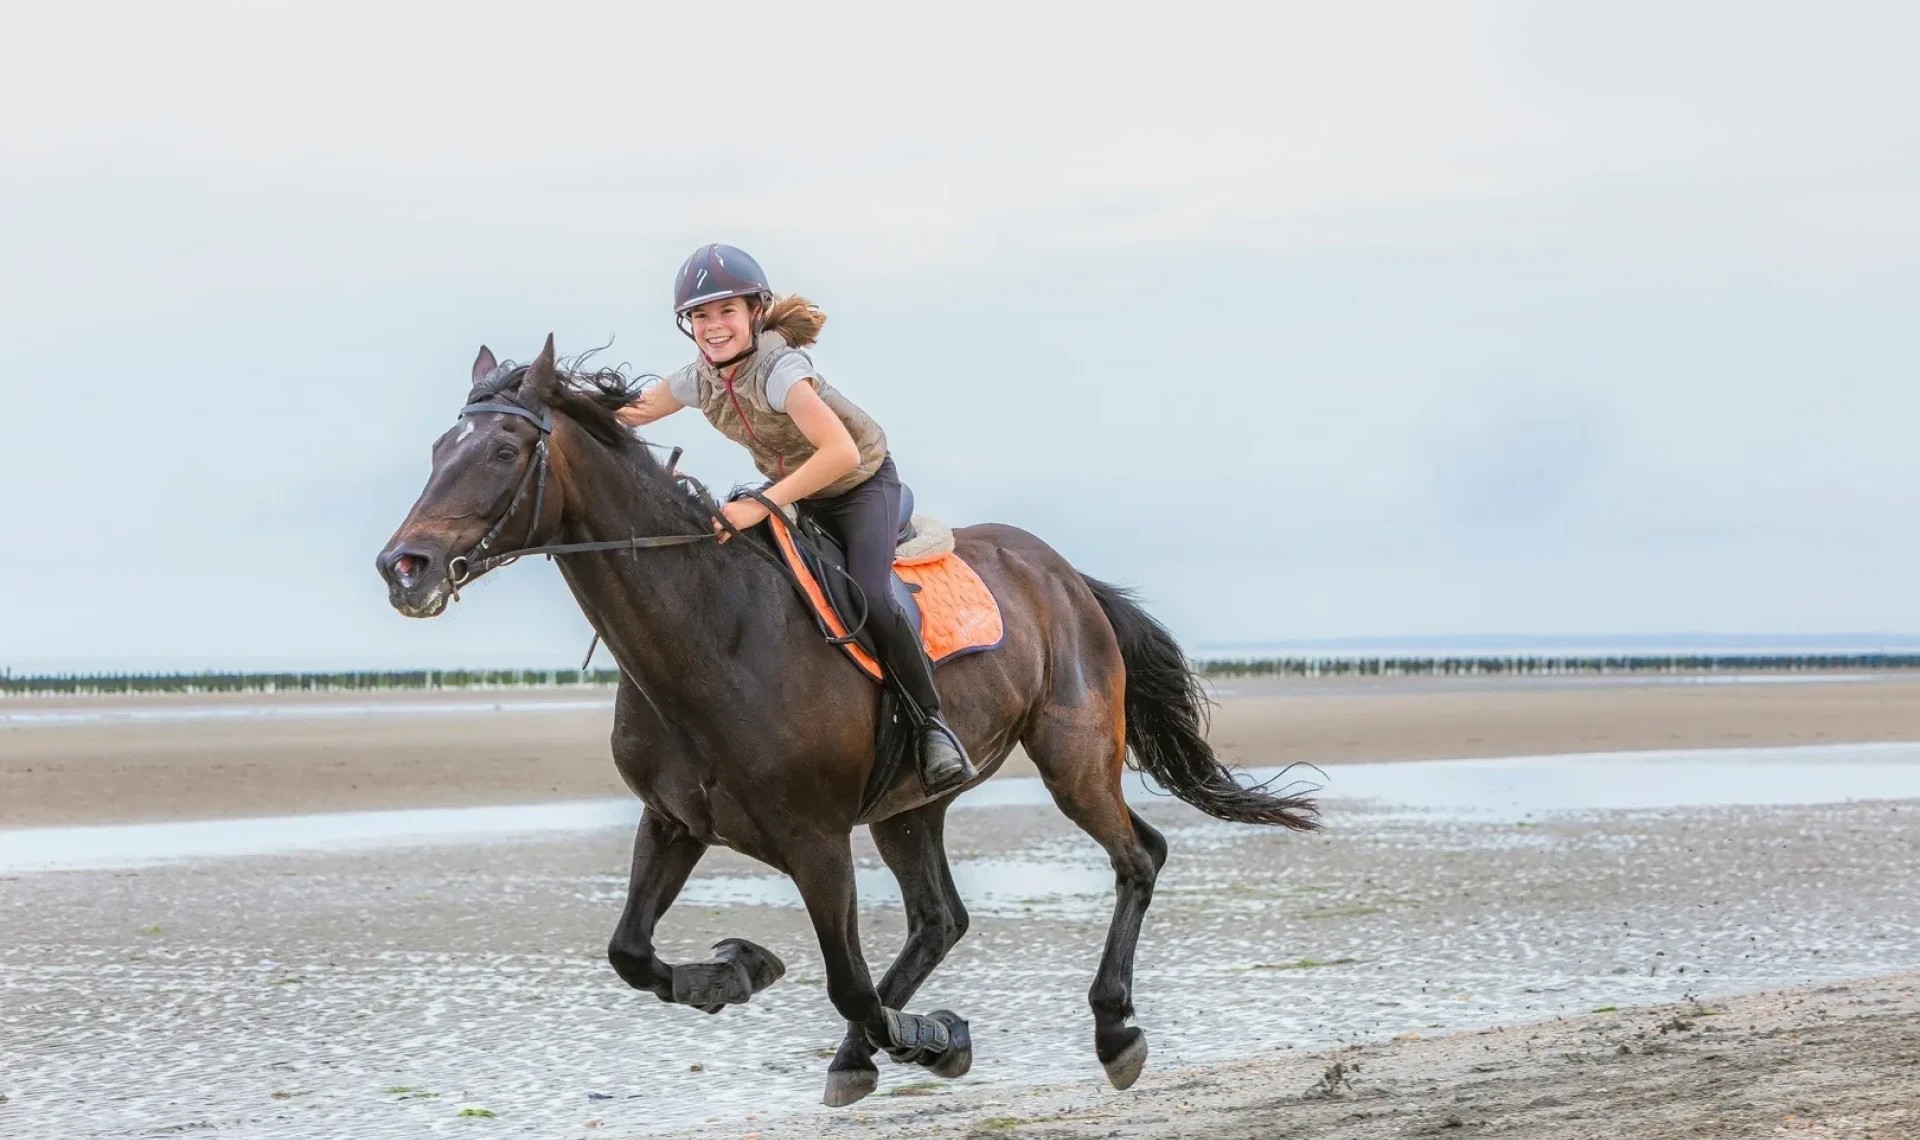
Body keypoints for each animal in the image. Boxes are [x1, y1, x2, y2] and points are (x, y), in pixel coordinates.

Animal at [375, 337, 1319, 1106]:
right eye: (437, 450)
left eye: (503, 449)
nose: (403, 566)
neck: (710, 631)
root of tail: (1064, 574)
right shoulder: (675, 820)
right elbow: (630, 950)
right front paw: (735, 975)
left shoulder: (816, 839)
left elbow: (849, 984)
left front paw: (930, 1037)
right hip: (911, 807)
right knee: (942, 917)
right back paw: (860, 1052)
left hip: (1074, 758)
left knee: (1137, 857)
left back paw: (1113, 1029)